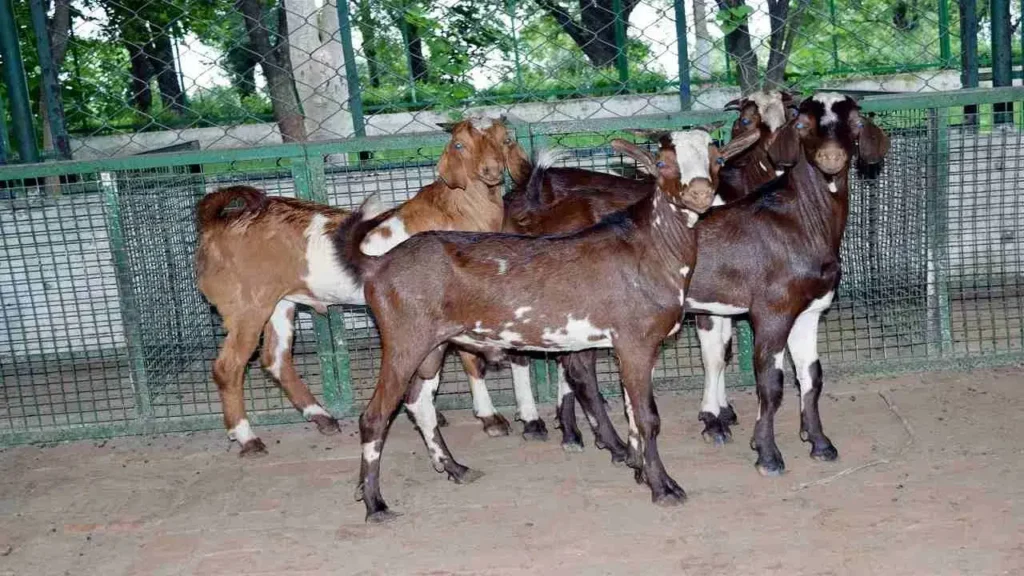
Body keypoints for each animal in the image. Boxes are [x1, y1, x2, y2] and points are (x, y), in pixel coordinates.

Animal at [192, 119, 503, 453]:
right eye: (460, 144)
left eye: (503, 138)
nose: (492, 169)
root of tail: (215, 224)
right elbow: (470, 360)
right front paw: (490, 419)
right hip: (247, 306)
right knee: (229, 367)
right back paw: (247, 437)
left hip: (279, 303)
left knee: (275, 359)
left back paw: (321, 417)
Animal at [337, 126, 761, 520]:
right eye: (661, 163)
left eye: (718, 160)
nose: (699, 194)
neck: (649, 248)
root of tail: (378, 264)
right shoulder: (636, 341)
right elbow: (647, 419)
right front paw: (664, 487)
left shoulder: (631, 346)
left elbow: (633, 413)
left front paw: (639, 469)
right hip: (403, 340)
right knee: (375, 416)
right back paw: (375, 503)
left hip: (433, 346)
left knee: (418, 402)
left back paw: (454, 468)